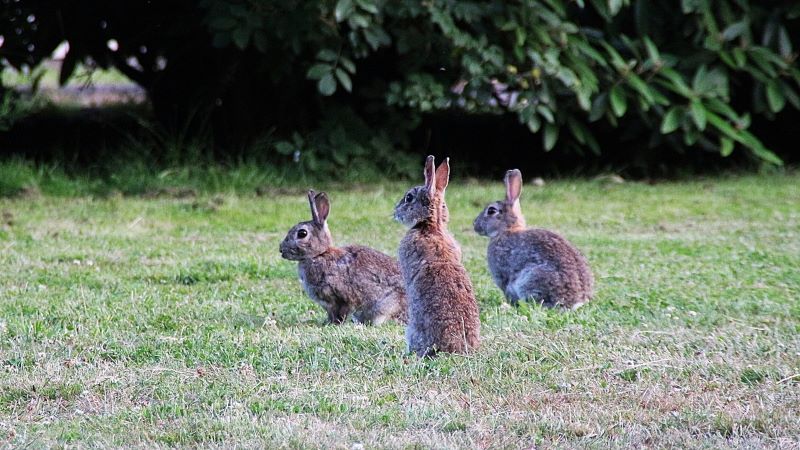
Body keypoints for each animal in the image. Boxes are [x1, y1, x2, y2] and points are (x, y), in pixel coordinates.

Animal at [280, 189, 406, 324]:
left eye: (302, 233)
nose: (281, 249)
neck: (320, 254)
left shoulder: (340, 297)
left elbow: (342, 312)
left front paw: (335, 324)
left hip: (387, 307)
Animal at [472, 170, 592, 310]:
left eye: (491, 211)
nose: (475, 225)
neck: (507, 230)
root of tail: (576, 301)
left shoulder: (503, 276)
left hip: (531, 279)